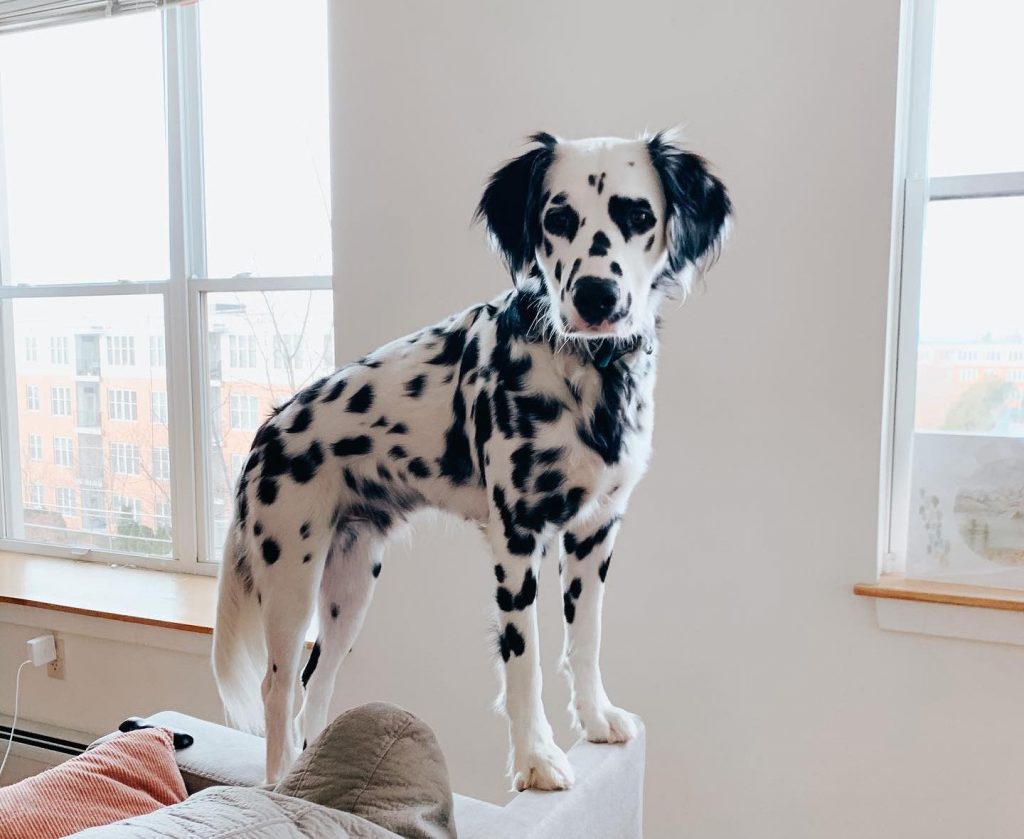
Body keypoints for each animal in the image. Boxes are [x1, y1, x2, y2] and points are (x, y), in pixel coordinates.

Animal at [211, 129, 733, 786]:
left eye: (638, 215)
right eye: (557, 219)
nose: (596, 295)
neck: (592, 378)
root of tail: (267, 430)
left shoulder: (595, 533)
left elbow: (584, 642)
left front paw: (594, 720)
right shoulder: (518, 541)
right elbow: (525, 663)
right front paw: (536, 759)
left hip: (350, 588)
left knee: (316, 687)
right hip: (292, 582)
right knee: (278, 690)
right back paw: (280, 782)